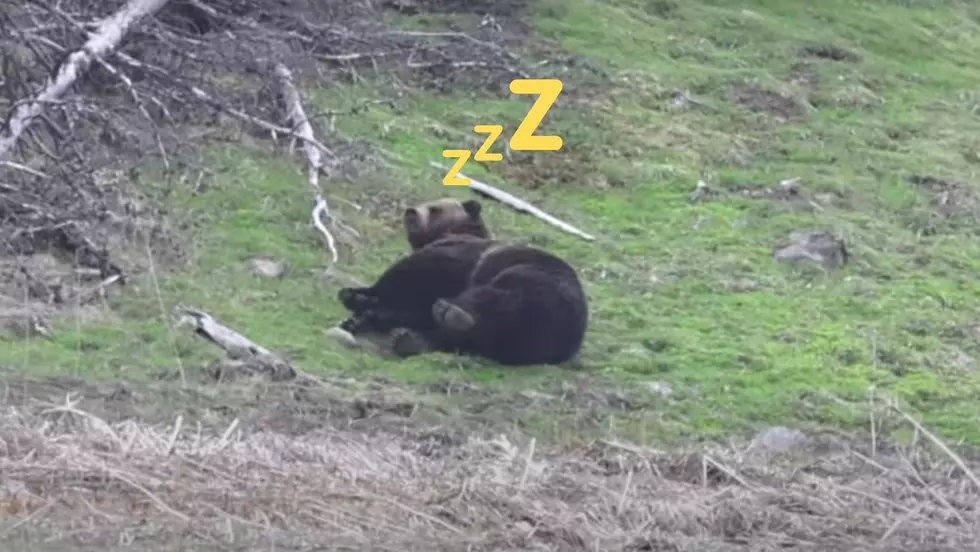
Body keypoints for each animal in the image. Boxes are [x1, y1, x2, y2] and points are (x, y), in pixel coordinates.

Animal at [336, 196, 584, 364]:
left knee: (483, 302)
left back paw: (447, 315)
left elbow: (407, 275)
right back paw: (411, 338)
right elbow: (410, 308)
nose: (411, 212)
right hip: (525, 338)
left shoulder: (456, 258)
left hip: (527, 278)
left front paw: (356, 296)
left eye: (435, 208)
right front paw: (361, 317)